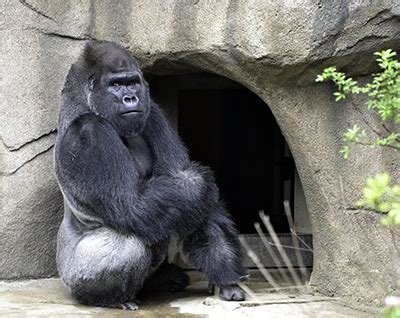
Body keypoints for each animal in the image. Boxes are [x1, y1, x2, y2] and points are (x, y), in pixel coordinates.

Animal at [54, 41, 245, 310]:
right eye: (115, 85)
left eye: (132, 82)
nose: (130, 98)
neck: (84, 102)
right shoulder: (89, 132)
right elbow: (132, 205)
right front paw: (199, 182)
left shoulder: (152, 111)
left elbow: (197, 207)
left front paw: (224, 272)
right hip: (73, 279)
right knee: (128, 244)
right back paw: (110, 299)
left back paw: (162, 278)